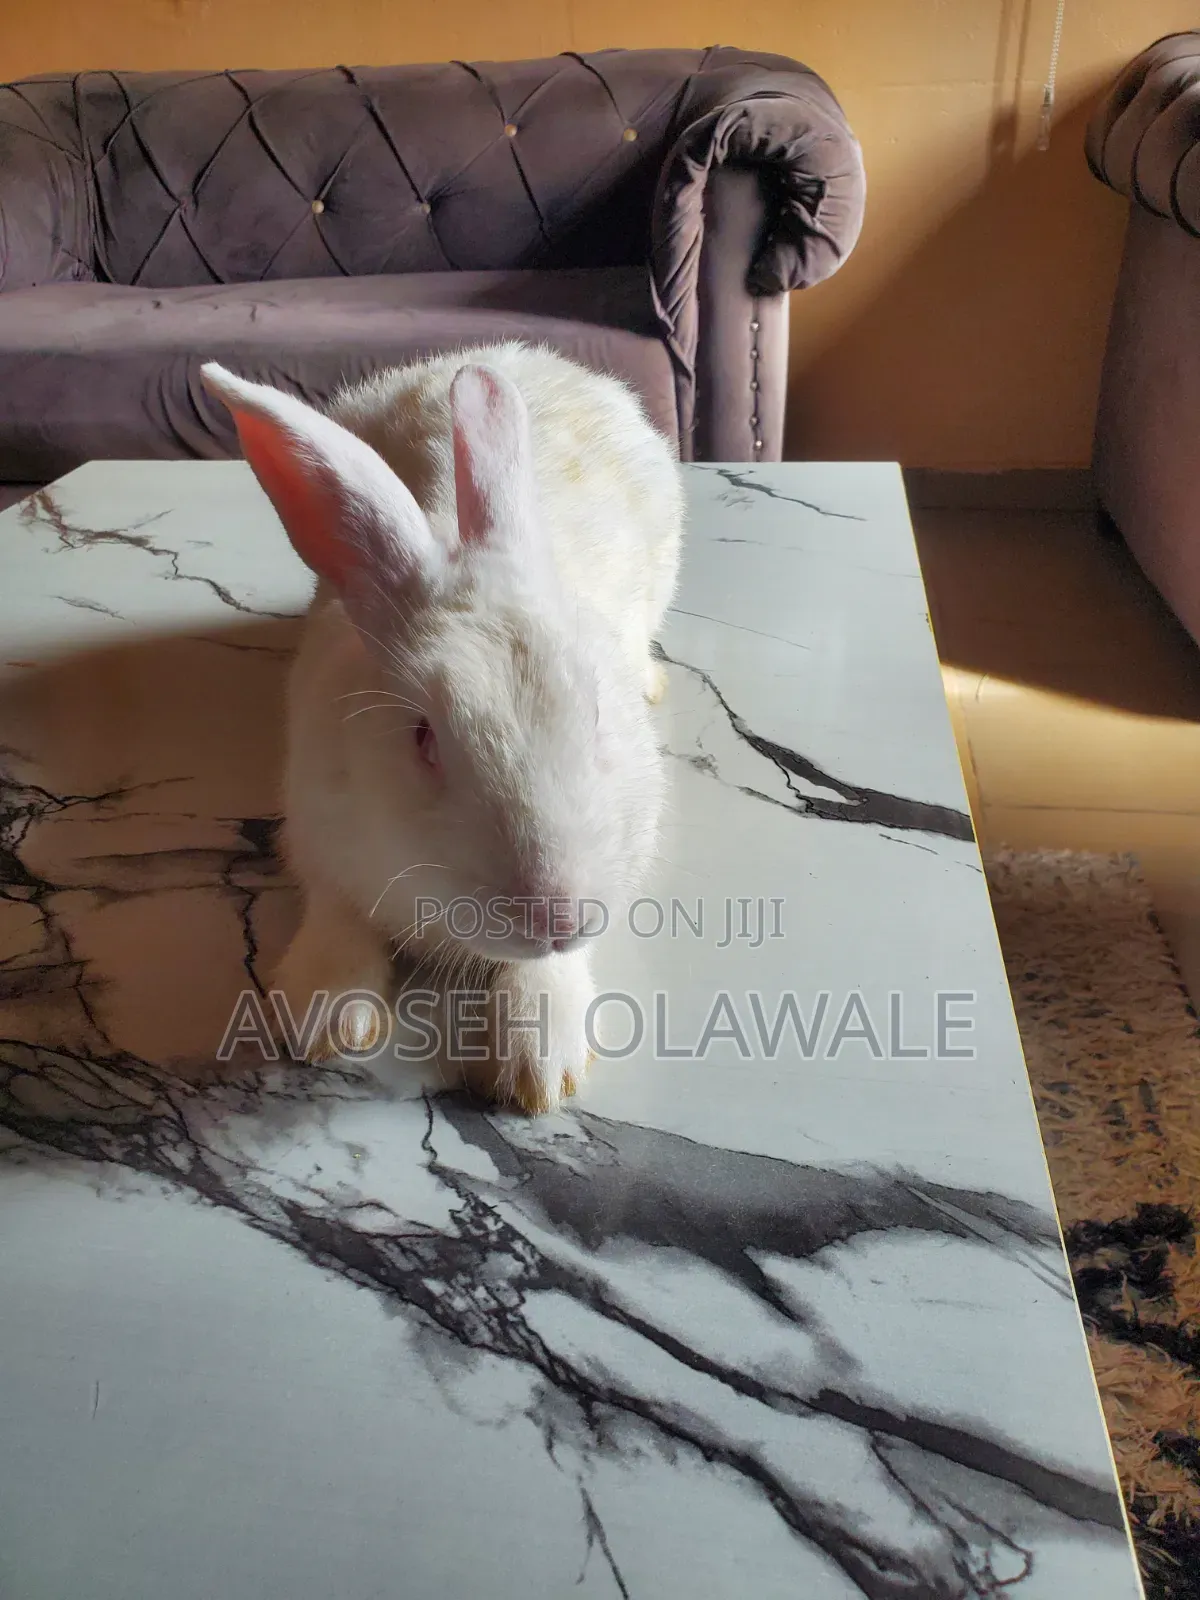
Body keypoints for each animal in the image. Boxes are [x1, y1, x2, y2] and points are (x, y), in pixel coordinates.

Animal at [201, 341, 684, 1113]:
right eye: (423, 737)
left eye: (595, 713)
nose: (556, 916)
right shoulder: (318, 838)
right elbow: (336, 916)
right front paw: (326, 1018)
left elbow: (556, 970)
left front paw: (536, 1065)